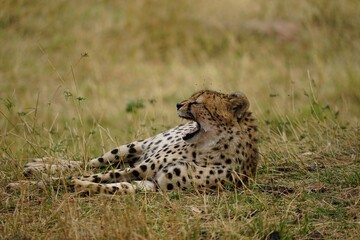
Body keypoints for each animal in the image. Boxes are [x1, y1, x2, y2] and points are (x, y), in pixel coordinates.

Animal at [8, 90, 258, 195]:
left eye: (197, 103)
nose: (178, 104)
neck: (210, 149)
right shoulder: (141, 168)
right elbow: (85, 174)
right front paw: (23, 185)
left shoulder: (153, 183)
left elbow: (109, 185)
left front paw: (80, 186)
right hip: (131, 147)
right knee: (88, 162)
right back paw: (38, 166)